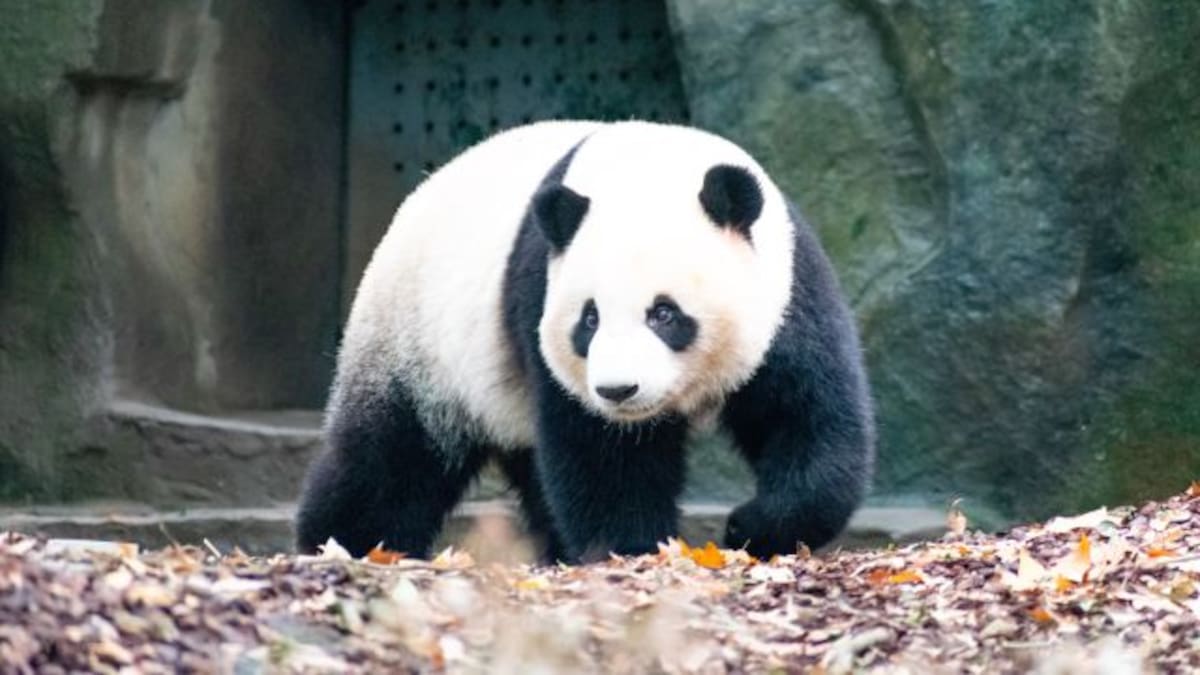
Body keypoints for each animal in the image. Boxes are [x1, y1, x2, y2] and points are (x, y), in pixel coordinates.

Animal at [295, 120, 874, 563]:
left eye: (665, 313)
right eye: (588, 320)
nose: (619, 390)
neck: (647, 169)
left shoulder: (788, 294)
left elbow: (809, 418)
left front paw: (751, 527)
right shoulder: (540, 297)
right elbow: (602, 454)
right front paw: (635, 548)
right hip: (417, 340)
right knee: (391, 457)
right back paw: (344, 542)